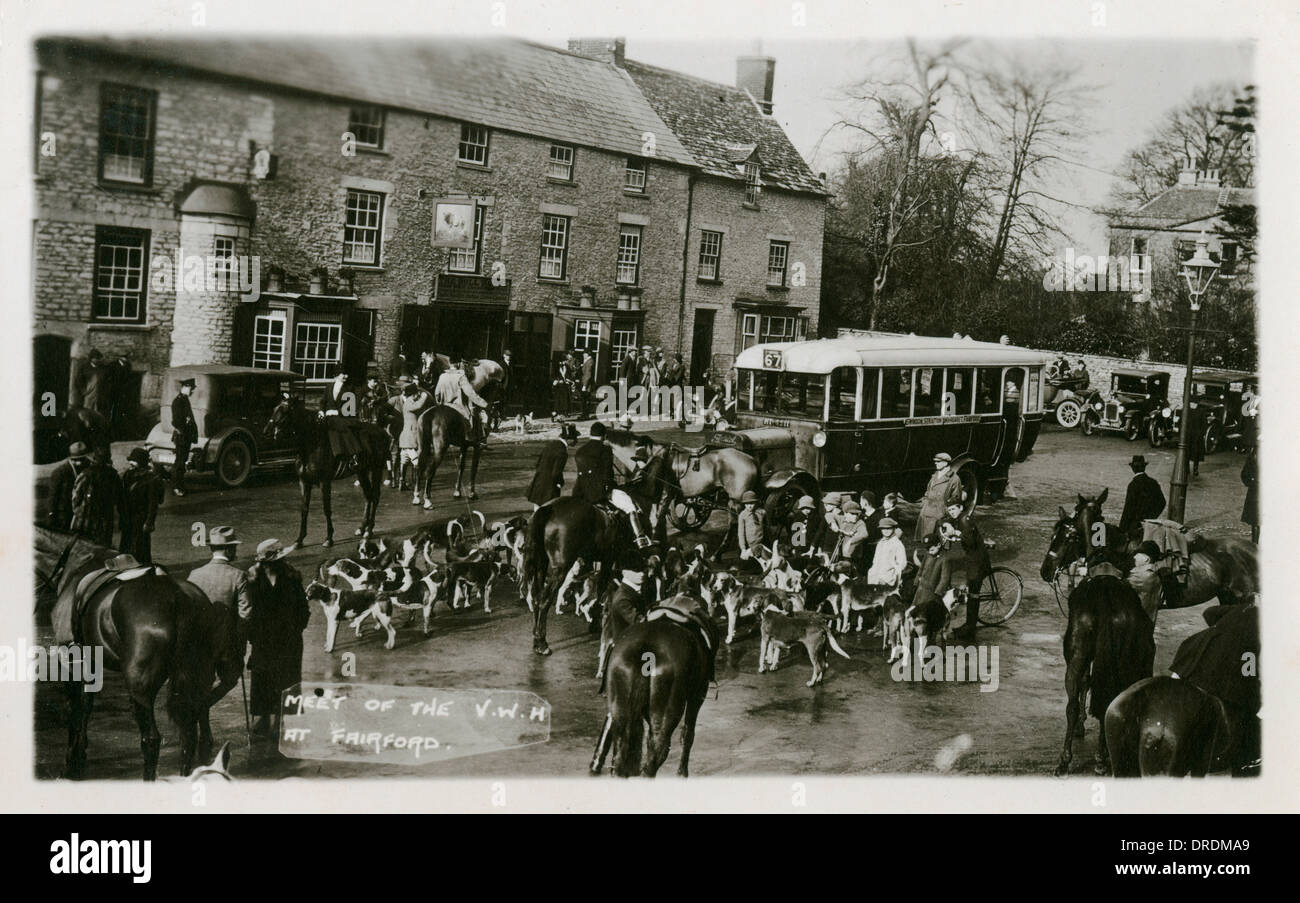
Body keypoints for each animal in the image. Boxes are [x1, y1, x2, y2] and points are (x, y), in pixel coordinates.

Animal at [37, 527, 241, 779]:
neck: (75, 564)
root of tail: (178, 597)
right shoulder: (91, 662)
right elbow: (85, 704)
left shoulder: (72, 656)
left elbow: (74, 707)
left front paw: (72, 760)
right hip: (199, 677)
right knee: (189, 733)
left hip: (140, 685)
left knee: (151, 739)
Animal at [262, 397, 384, 550]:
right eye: (274, 409)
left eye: (285, 411)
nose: (266, 431)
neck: (312, 444)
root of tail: (380, 431)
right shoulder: (304, 482)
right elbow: (304, 509)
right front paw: (299, 539)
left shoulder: (324, 482)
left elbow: (326, 509)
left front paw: (329, 538)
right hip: (361, 471)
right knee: (368, 496)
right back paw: (362, 528)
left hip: (376, 468)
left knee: (375, 496)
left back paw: (369, 530)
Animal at [592, 592, 722, 779]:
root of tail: (645, 647)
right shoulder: (698, 695)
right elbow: (688, 734)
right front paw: (682, 773)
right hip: (667, 713)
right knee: (656, 754)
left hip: (621, 710)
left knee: (622, 751)